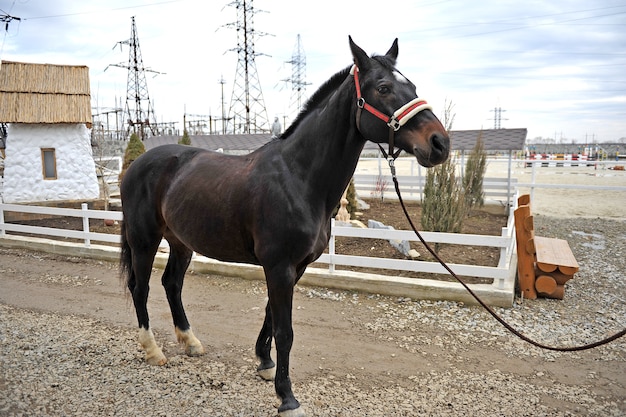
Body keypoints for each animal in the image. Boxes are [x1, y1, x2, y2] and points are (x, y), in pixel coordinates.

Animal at [119, 36, 446, 416]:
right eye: (383, 88)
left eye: (413, 87)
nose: (440, 143)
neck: (299, 177)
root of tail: (137, 164)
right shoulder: (279, 267)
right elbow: (285, 331)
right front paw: (286, 396)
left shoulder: (294, 267)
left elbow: (270, 316)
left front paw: (264, 363)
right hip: (144, 240)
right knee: (140, 288)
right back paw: (152, 350)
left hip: (181, 242)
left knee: (172, 284)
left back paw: (190, 341)